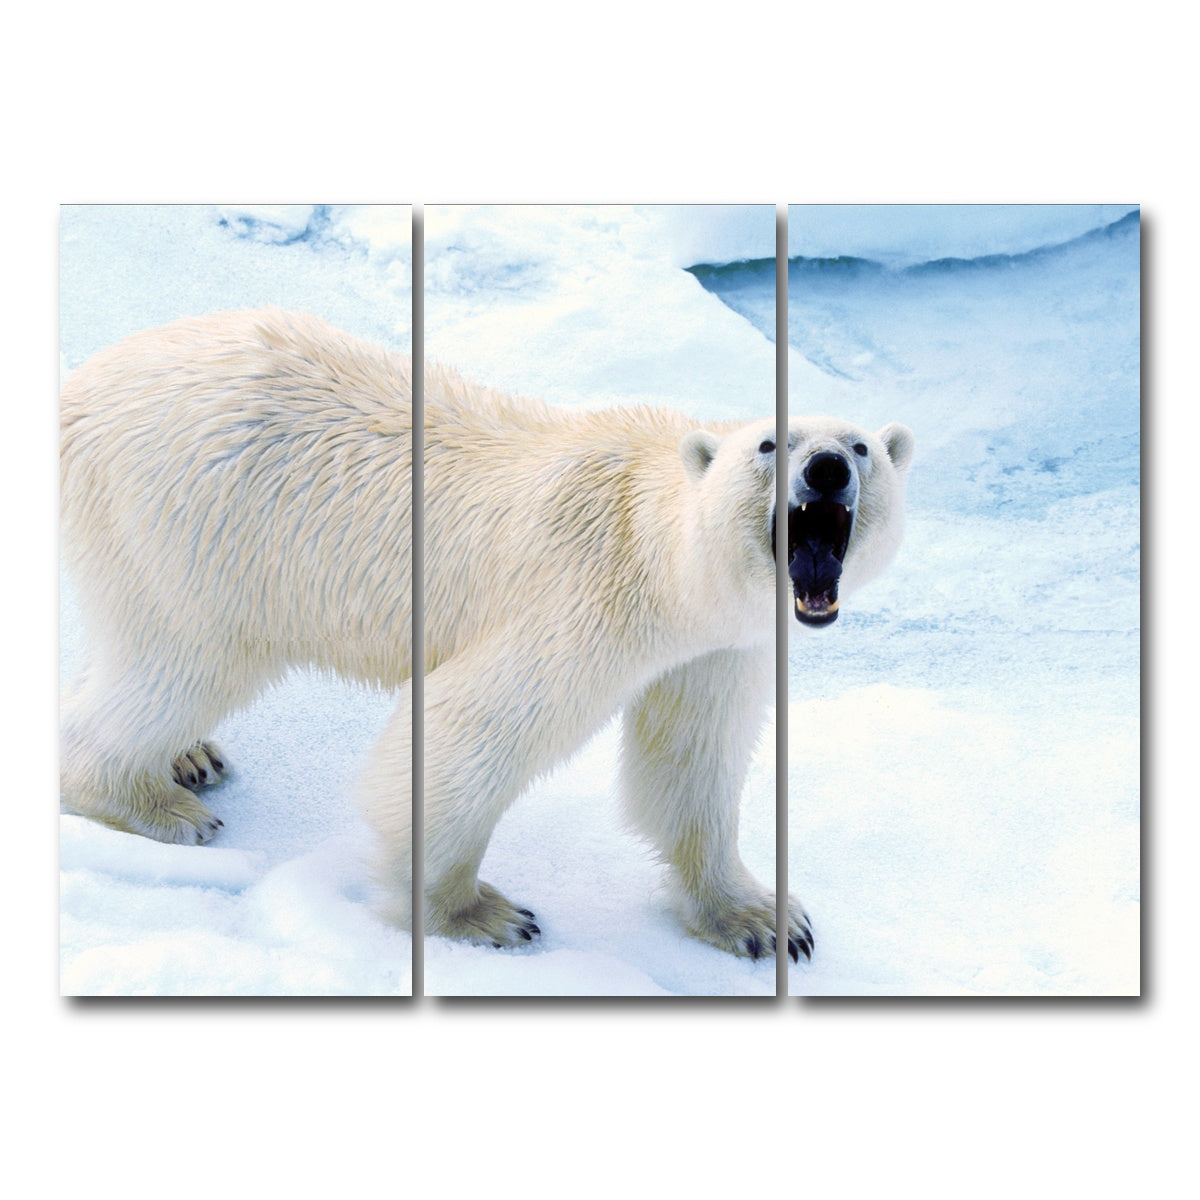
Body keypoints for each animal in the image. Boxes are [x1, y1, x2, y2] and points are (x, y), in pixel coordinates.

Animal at [60, 306, 914, 964]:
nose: (828, 469)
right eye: (771, 444)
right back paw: (155, 802)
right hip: (194, 524)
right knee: (183, 661)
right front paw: (480, 914)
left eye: (861, 445)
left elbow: (689, 763)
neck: (656, 547)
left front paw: (763, 918)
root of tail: (80, 386)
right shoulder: (582, 601)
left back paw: (190, 755)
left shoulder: (715, 647)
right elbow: (463, 734)